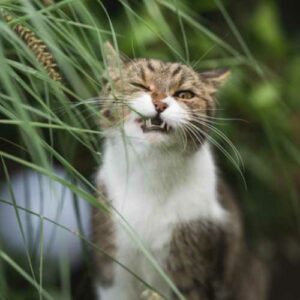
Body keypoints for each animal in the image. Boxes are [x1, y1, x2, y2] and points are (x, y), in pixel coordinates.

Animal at [91, 42, 268, 300]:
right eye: (139, 86)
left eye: (184, 94)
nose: (160, 104)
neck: (152, 174)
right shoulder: (112, 270)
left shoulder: (193, 273)